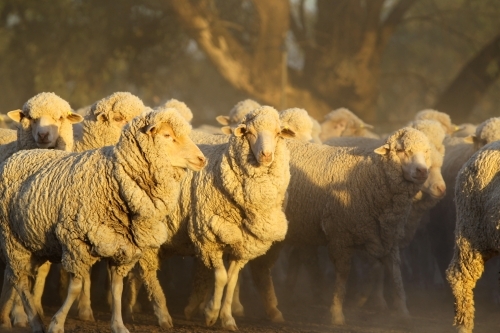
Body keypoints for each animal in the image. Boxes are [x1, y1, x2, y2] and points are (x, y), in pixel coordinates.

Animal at [0, 107, 207, 332]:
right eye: (167, 135)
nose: (202, 159)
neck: (115, 176)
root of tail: (18, 155)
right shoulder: (76, 243)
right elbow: (76, 287)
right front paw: (57, 323)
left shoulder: (123, 247)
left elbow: (117, 289)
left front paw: (118, 325)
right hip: (12, 238)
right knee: (20, 281)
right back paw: (35, 322)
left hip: (33, 243)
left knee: (17, 276)